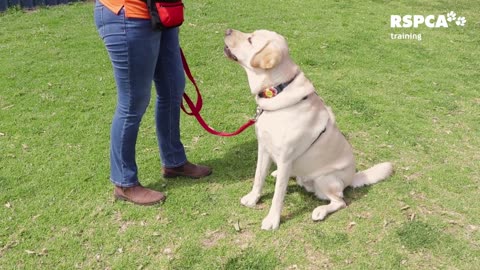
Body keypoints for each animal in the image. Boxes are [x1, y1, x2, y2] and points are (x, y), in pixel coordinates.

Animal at [223, 29, 392, 230]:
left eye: (250, 40)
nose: (227, 30)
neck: (278, 89)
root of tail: (352, 177)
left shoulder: (286, 158)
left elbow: (278, 196)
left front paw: (272, 220)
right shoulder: (263, 148)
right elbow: (258, 177)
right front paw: (252, 198)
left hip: (325, 179)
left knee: (340, 201)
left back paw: (320, 211)